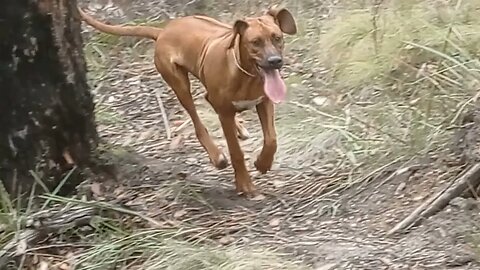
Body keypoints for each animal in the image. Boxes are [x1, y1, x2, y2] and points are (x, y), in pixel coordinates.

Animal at [78, 5, 296, 195]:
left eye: (277, 38)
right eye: (255, 42)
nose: (275, 61)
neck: (246, 75)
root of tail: (163, 30)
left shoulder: (264, 102)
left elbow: (271, 139)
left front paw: (263, 163)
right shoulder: (225, 114)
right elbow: (236, 152)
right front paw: (244, 183)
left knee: (208, 99)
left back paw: (239, 129)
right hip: (179, 84)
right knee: (197, 121)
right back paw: (216, 155)